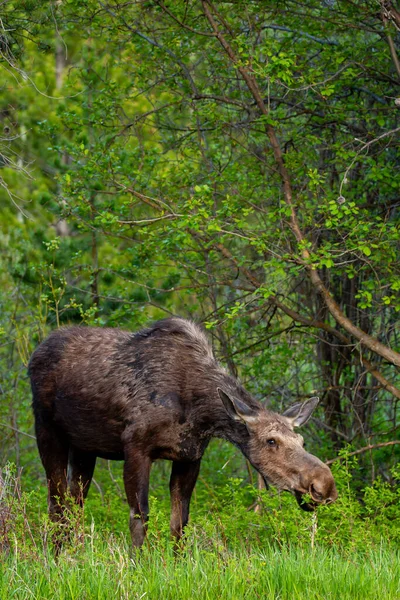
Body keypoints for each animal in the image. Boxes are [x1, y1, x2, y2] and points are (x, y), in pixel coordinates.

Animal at [28, 318, 336, 548]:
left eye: (301, 440)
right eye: (271, 441)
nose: (324, 485)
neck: (197, 411)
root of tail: (34, 354)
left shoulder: (189, 457)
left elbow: (180, 523)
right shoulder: (136, 448)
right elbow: (139, 517)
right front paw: (138, 566)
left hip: (84, 448)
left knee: (74, 505)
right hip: (47, 431)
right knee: (56, 504)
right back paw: (56, 559)